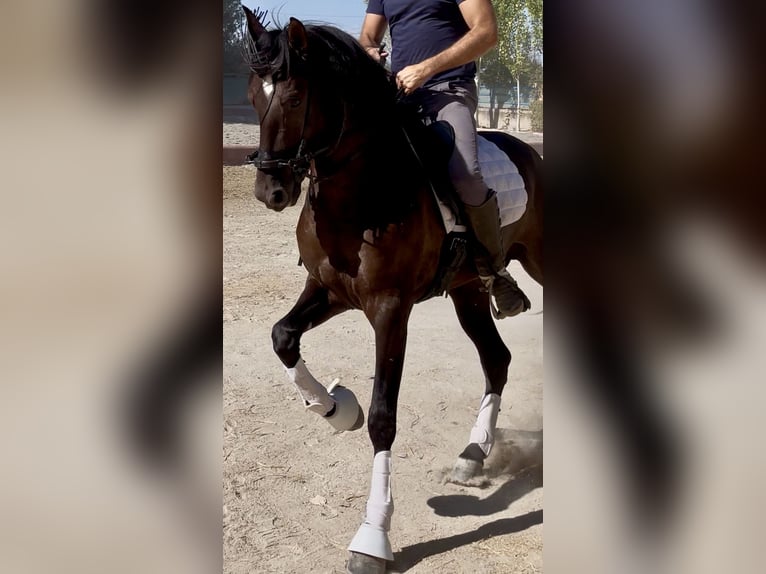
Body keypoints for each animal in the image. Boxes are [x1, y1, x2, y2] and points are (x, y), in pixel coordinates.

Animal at [242, 8, 543, 573]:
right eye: (253, 93)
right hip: (469, 293)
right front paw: (337, 409)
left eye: (294, 97)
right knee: (496, 359)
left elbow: (384, 420)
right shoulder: (328, 289)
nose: (271, 191)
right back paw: (472, 456)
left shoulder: (389, 309)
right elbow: (282, 337)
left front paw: (372, 537)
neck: (365, 192)